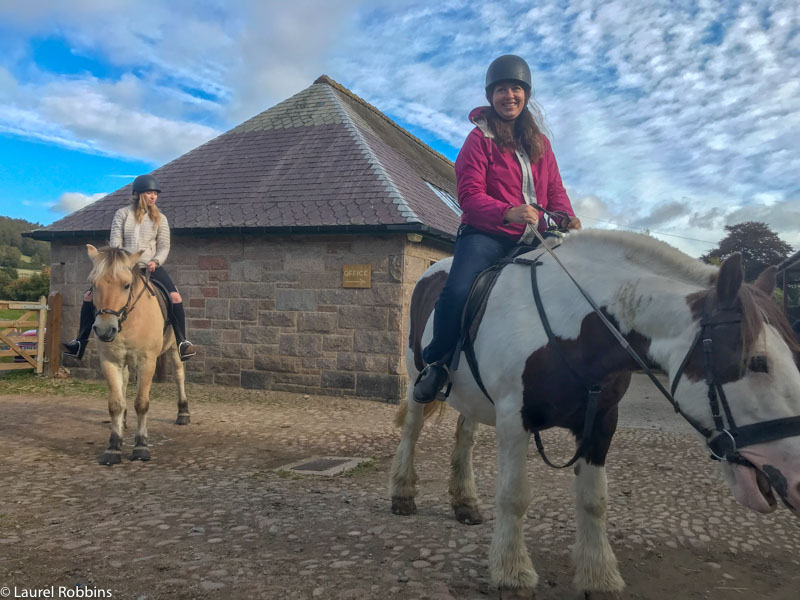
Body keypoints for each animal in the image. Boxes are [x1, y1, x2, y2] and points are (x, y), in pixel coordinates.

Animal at [85, 244, 189, 464]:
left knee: (179, 375)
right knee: (124, 383)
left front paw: (141, 446)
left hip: (174, 349)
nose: (104, 329)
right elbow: (115, 403)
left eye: (126, 285)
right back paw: (123, 421)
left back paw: (183, 413)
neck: (129, 319)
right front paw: (113, 447)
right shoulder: (110, 361)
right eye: (94, 285)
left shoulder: (147, 362)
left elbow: (142, 403)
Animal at [392, 230, 800, 600]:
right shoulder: (513, 419)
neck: (570, 326)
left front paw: (598, 576)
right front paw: (512, 573)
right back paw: (402, 494)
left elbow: (594, 500)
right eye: (757, 362)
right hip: (417, 379)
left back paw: (465, 501)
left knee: (465, 436)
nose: (796, 481)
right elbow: (513, 495)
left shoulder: (602, 423)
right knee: (412, 430)